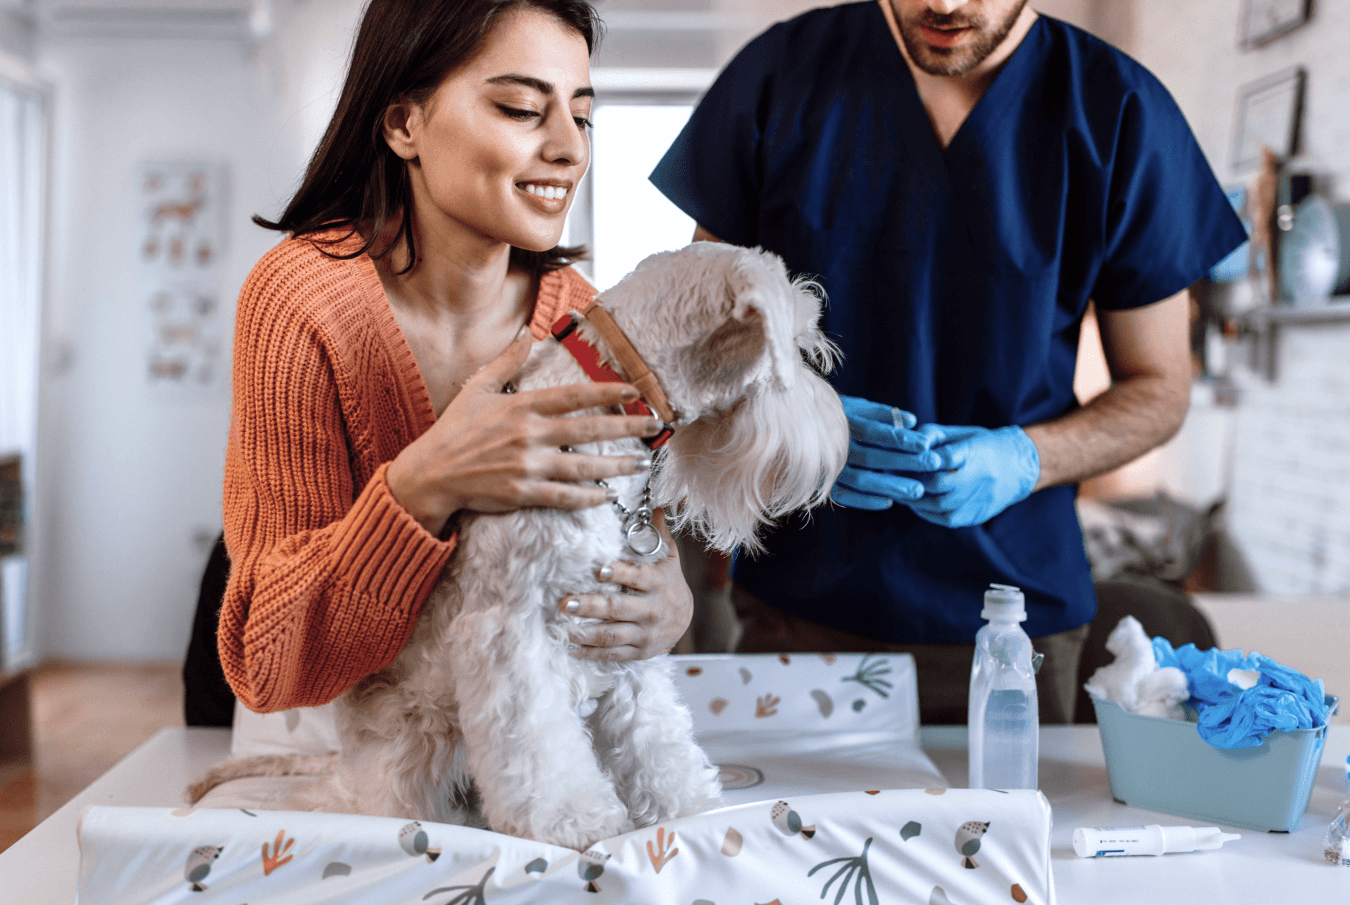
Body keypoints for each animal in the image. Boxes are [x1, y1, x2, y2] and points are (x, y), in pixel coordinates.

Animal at [193, 240, 842, 853]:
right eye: (800, 341)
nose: (840, 434)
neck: (604, 400)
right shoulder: (510, 634)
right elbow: (537, 748)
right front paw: (575, 821)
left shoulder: (621, 637)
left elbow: (657, 738)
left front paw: (686, 806)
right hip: (410, 743)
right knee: (363, 799)